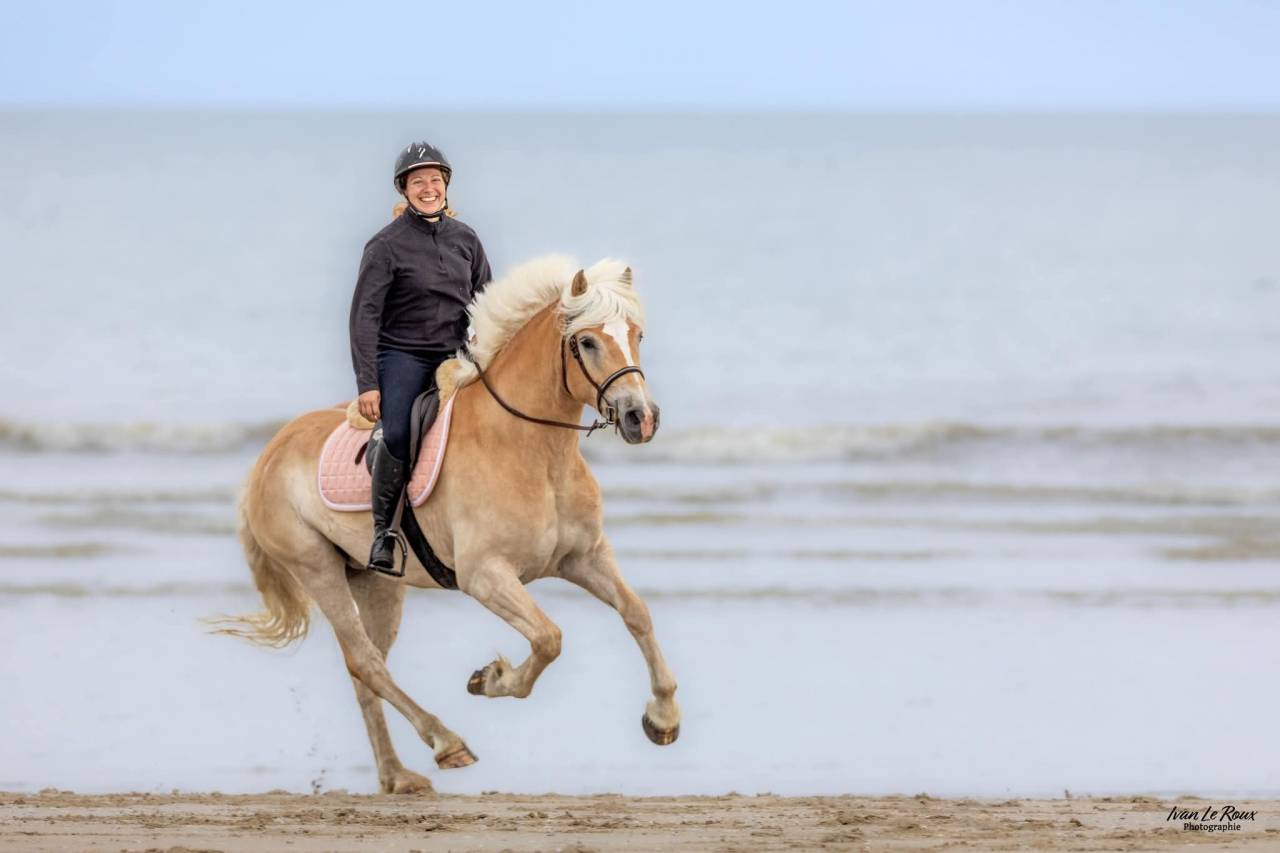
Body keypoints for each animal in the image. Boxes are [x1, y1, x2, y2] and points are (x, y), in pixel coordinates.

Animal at [215, 256, 681, 794]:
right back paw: (446, 742)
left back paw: (397, 776)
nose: (641, 418)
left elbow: (636, 613)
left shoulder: (583, 558)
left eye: (637, 334)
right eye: (586, 342)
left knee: (364, 671)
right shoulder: (485, 576)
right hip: (317, 569)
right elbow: (549, 638)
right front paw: (492, 679)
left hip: (377, 582)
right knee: (366, 663)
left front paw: (663, 718)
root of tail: (268, 454)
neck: (532, 450)